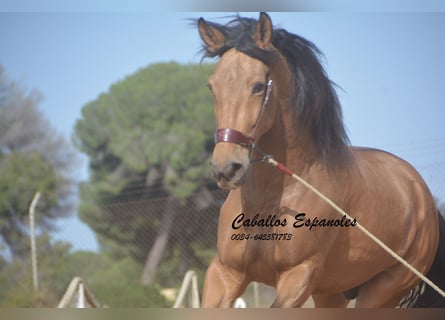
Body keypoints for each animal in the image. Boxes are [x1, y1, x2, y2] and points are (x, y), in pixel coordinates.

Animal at [197, 11, 444, 308]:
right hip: (331, 293)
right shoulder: (225, 273)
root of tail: (422, 196)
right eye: (212, 86)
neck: (272, 199)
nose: (226, 169)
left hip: (384, 290)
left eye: (258, 86)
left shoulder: (299, 276)